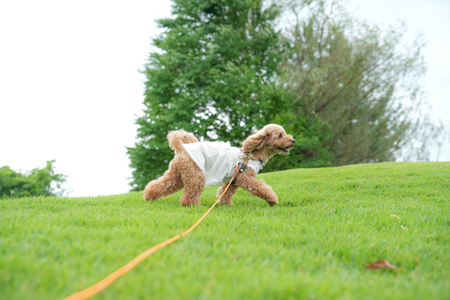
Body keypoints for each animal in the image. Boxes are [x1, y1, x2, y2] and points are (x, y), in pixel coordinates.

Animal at [142, 124, 294, 206]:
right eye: (280, 135)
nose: (293, 140)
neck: (252, 154)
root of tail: (182, 147)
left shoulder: (233, 179)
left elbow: (226, 192)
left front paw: (225, 204)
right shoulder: (245, 177)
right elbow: (261, 187)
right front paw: (272, 200)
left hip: (178, 174)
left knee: (161, 184)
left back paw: (149, 196)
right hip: (196, 174)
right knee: (190, 194)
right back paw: (193, 205)